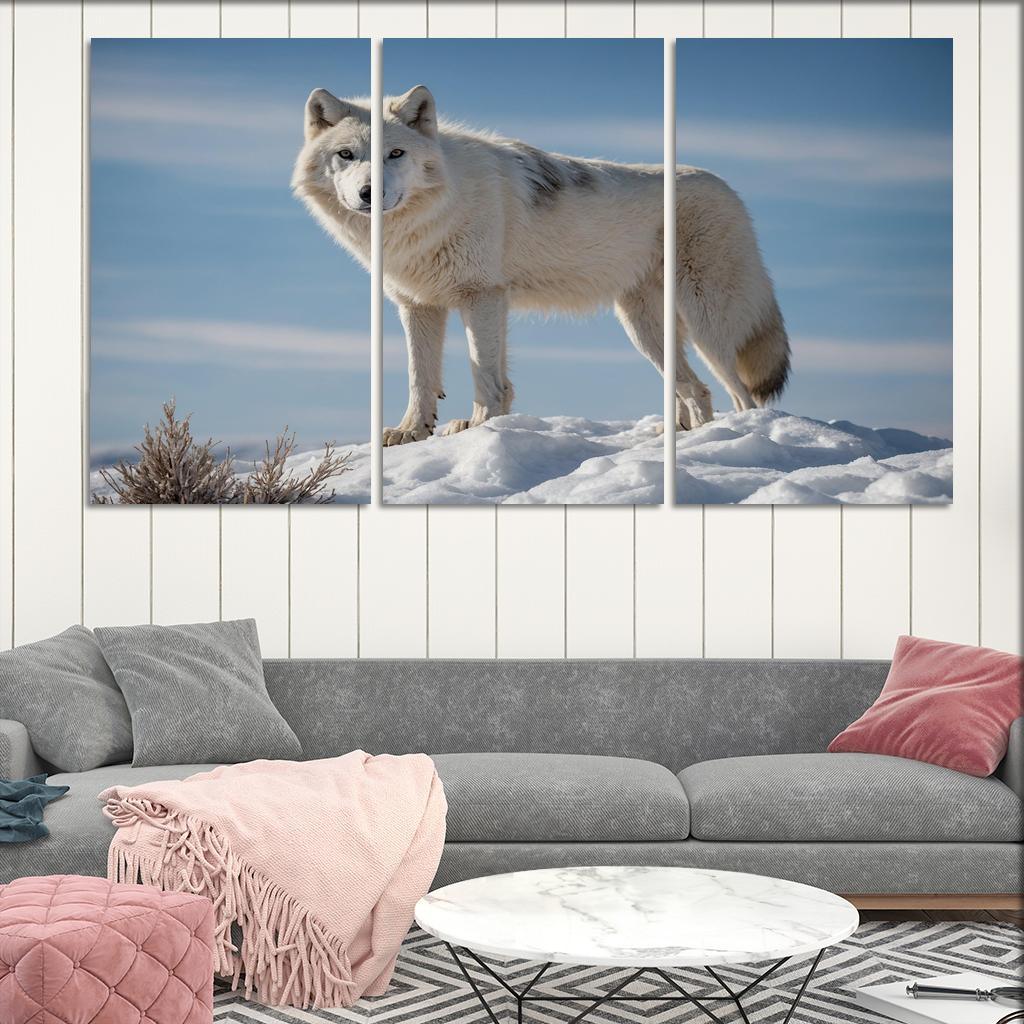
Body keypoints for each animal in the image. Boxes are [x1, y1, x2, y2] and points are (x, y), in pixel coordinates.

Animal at [292, 85, 789, 445]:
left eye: (395, 154)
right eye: (346, 155)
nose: (368, 193)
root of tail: (731, 190)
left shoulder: (481, 296)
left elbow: (484, 373)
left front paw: (480, 427)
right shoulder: (420, 305)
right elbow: (423, 378)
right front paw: (412, 432)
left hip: (706, 323)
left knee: (740, 394)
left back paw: (733, 438)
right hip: (643, 329)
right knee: (695, 389)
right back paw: (683, 438)